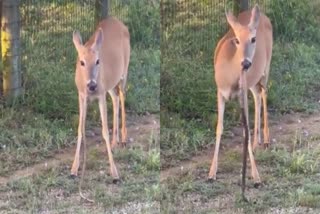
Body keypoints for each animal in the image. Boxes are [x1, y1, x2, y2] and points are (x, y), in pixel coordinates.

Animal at [70, 16, 130, 184]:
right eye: (81, 62)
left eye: (97, 61)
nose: (92, 85)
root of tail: (118, 21)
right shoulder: (81, 95)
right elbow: (80, 129)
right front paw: (74, 169)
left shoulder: (100, 94)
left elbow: (104, 131)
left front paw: (115, 173)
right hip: (109, 83)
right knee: (115, 98)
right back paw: (115, 142)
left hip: (124, 71)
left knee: (122, 96)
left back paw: (123, 138)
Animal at [210, 4, 272, 189]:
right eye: (236, 40)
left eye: (253, 39)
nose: (245, 63)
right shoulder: (220, 92)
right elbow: (219, 127)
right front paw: (211, 173)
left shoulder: (241, 94)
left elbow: (245, 130)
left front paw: (256, 176)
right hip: (252, 81)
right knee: (258, 95)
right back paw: (258, 143)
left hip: (267, 66)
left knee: (264, 93)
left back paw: (266, 140)